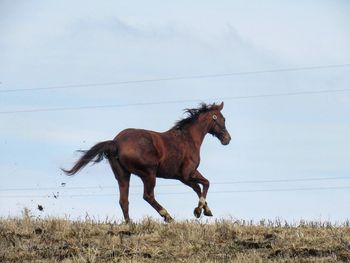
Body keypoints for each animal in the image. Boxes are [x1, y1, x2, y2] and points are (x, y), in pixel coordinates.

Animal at [62, 102, 232, 222]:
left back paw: (129, 224)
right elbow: (204, 184)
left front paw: (204, 210)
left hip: (123, 175)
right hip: (148, 174)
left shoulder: (184, 176)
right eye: (222, 119)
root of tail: (116, 142)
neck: (188, 139)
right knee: (148, 196)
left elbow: (200, 187)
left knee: (124, 200)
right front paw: (198, 210)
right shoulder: (186, 175)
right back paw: (168, 217)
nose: (227, 139)